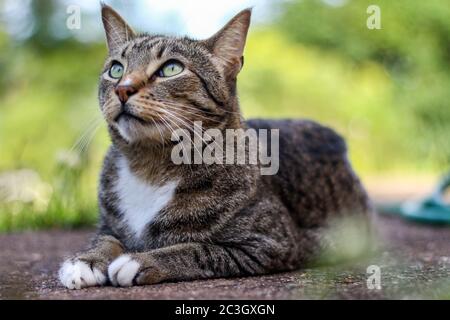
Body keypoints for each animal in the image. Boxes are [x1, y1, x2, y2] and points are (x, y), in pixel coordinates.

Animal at [58, 4, 370, 290]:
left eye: (171, 68)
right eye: (116, 69)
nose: (122, 88)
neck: (149, 164)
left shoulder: (270, 243)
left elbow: (198, 249)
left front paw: (140, 259)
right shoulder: (108, 225)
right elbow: (106, 239)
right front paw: (86, 260)